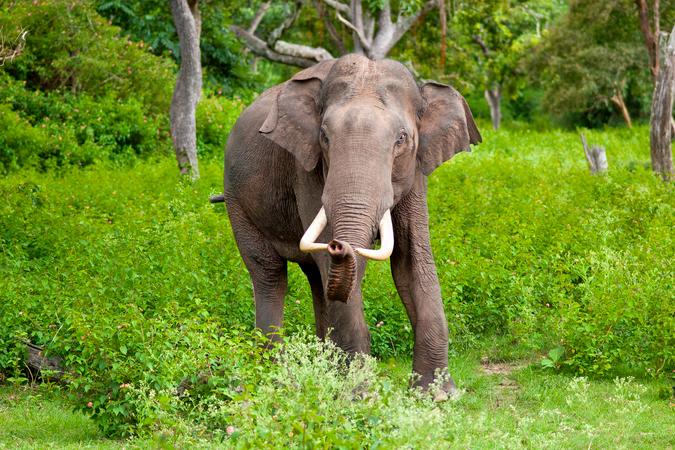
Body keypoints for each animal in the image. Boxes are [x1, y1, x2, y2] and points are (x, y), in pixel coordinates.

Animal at [221, 54, 481, 393]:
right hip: (237, 200)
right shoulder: (307, 168)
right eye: (324, 137)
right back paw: (275, 376)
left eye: (401, 139)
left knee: (316, 279)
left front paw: (436, 395)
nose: (338, 244)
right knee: (269, 274)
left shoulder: (416, 171)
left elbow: (412, 260)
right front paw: (358, 393)